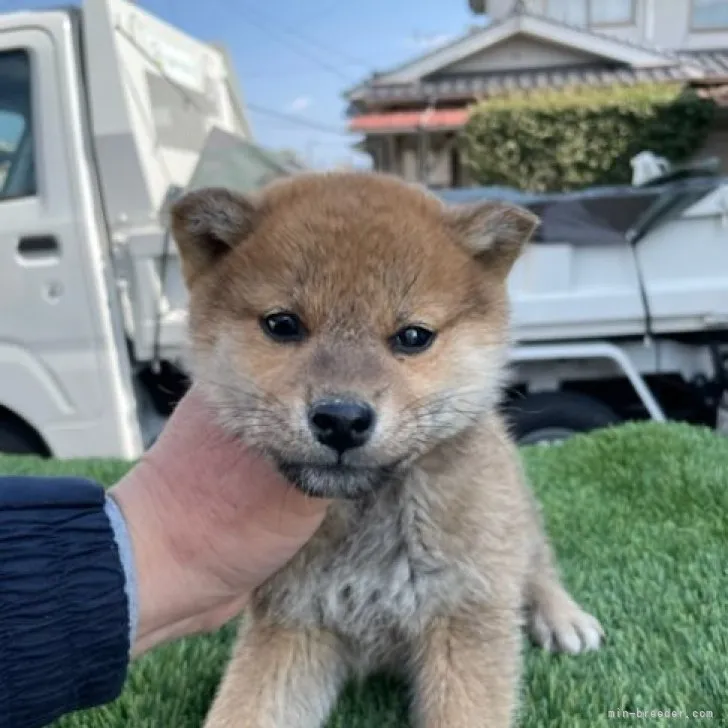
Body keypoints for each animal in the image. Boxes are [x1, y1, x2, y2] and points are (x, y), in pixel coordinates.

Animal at [171, 172, 604, 728]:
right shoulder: (292, 622)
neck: (366, 518)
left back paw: (562, 617)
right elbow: (246, 711)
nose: (341, 419)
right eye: (282, 324)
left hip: (512, 523)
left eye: (413, 336)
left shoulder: (465, 615)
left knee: (539, 563)